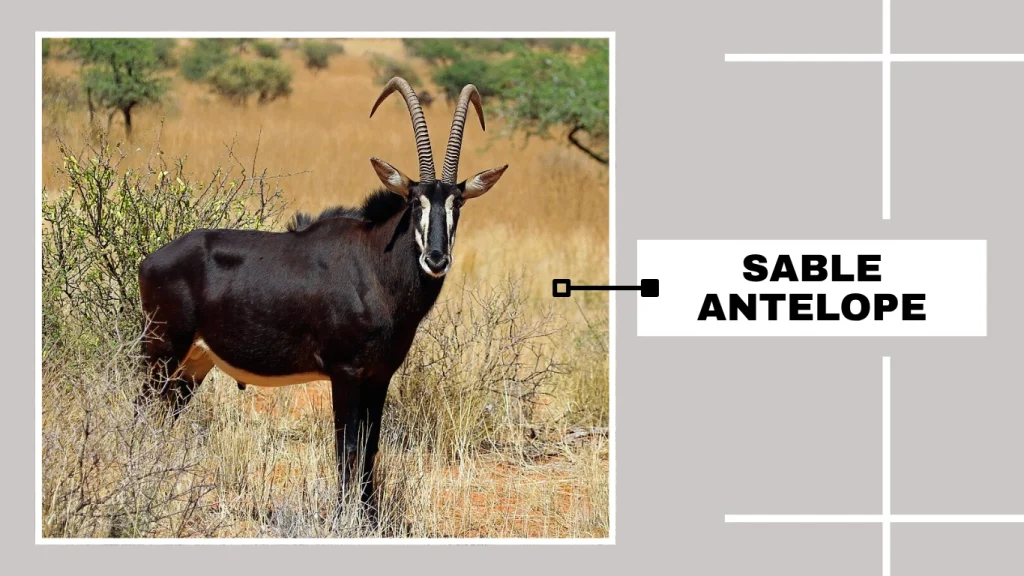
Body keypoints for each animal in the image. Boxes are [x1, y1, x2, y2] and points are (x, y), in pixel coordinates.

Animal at [136, 77, 508, 513]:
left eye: (457, 203)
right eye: (415, 202)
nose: (436, 258)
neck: (375, 266)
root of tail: (150, 261)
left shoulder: (379, 375)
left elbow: (370, 447)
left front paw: (369, 516)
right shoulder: (345, 372)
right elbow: (346, 448)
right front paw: (345, 517)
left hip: (193, 364)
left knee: (163, 416)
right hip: (161, 351)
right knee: (143, 412)